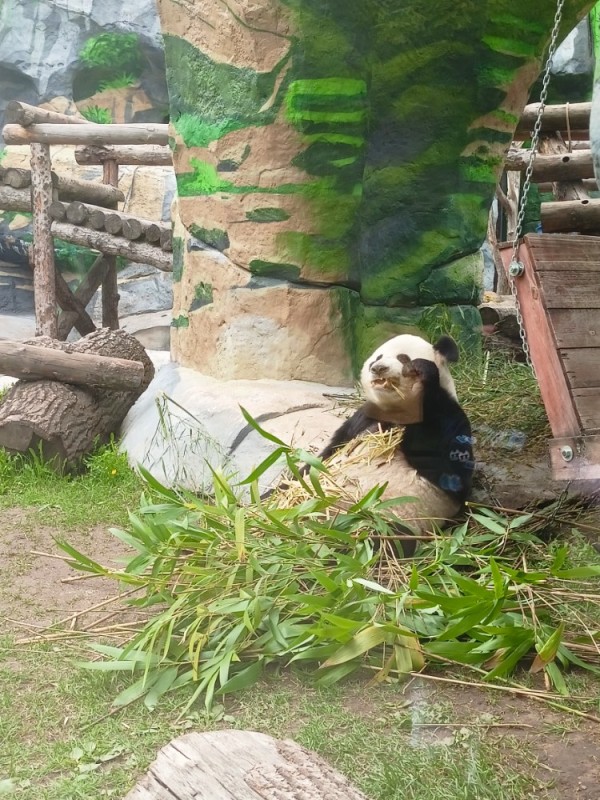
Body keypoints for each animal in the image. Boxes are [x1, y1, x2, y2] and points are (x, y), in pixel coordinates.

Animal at [310, 334, 474, 552]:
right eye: (377, 357)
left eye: (403, 358)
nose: (378, 368)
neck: (395, 410)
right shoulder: (362, 419)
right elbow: (329, 452)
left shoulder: (448, 415)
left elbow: (452, 473)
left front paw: (423, 370)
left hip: (392, 517)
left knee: (381, 541)